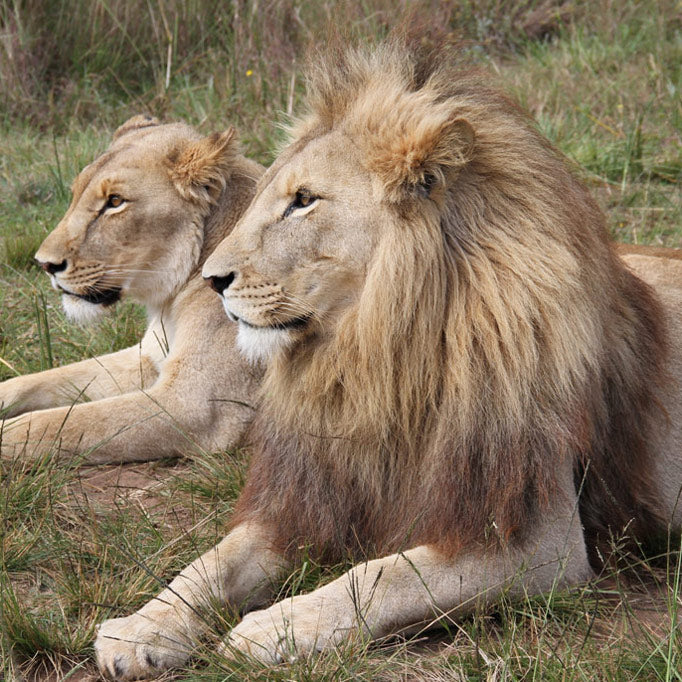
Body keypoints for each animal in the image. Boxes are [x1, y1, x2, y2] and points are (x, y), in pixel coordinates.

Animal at [0, 115, 263, 464]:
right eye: (75, 193)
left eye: (114, 202)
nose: (44, 264)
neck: (170, 301)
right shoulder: (147, 358)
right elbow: (42, 380)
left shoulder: (196, 405)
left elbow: (62, 423)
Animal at [94, 42, 682, 678]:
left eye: (303, 201)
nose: (211, 279)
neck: (374, 361)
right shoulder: (317, 495)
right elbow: (213, 562)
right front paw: (140, 628)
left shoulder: (538, 542)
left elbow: (385, 575)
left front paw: (275, 628)